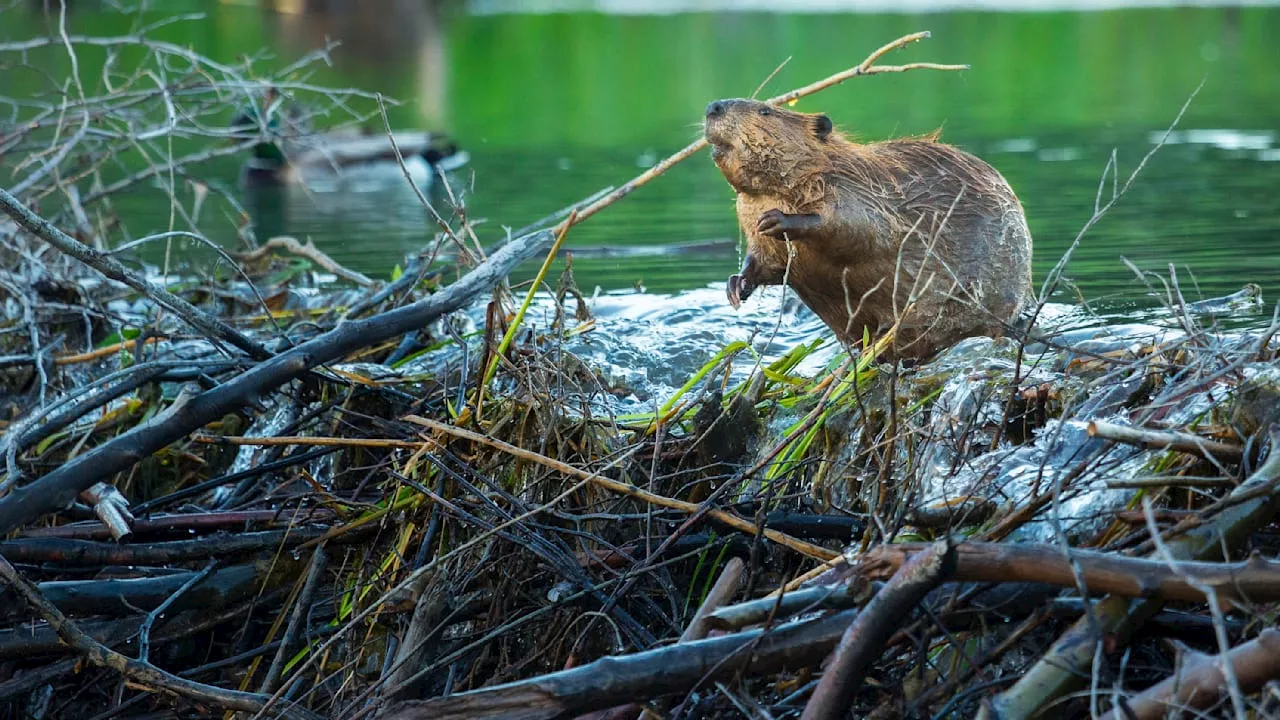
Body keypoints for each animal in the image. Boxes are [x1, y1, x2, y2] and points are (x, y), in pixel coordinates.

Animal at [706, 96, 1034, 358]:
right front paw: (736, 286)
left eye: (765, 111)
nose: (714, 107)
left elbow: (861, 229)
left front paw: (777, 220)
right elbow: (765, 262)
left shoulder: (855, 189)